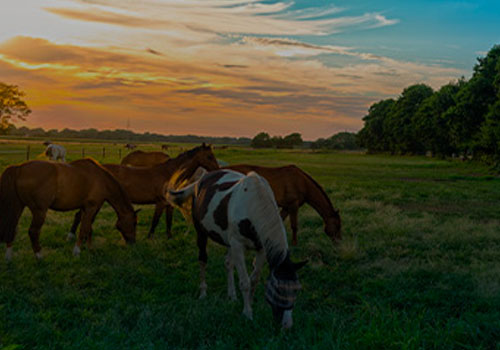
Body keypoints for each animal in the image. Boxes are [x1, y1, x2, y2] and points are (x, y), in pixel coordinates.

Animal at [0, 159, 137, 260]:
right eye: (134, 223)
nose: (132, 243)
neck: (101, 179)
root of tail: (20, 168)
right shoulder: (92, 207)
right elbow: (84, 228)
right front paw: (77, 251)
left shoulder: (86, 208)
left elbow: (88, 227)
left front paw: (89, 248)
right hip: (39, 211)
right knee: (33, 232)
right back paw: (39, 256)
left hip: (18, 206)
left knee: (12, 228)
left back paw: (9, 257)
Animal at [68, 144, 219, 239]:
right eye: (209, 156)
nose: (217, 169)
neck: (169, 174)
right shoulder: (160, 203)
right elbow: (155, 221)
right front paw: (149, 237)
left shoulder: (169, 204)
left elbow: (168, 221)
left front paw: (169, 237)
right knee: (79, 215)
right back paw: (71, 236)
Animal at [168, 170, 306, 328]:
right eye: (278, 289)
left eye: (296, 290)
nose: (287, 325)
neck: (253, 204)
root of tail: (200, 181)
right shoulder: (238, 245)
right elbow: (245, 282)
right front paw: (247, 313)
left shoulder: (261, 249)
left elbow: (254, 279)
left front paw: (250, 303)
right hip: (201, 232)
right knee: (202, 260)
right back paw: (203, 293)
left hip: (229, 243)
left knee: (228, 263)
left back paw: (232, 295)